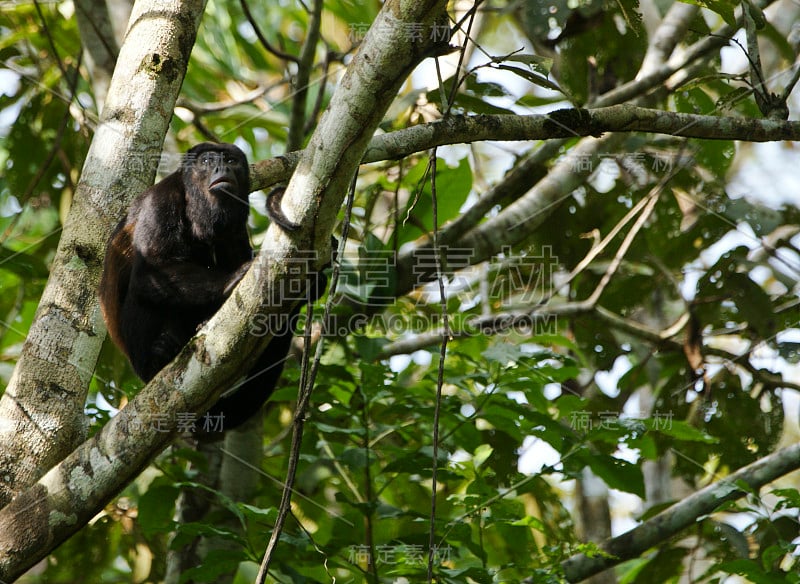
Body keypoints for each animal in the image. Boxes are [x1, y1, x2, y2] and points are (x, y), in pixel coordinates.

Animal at [98, 141, 324, 434]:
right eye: (207, 160)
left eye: (230, 160)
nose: (221, 168)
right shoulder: (160, 201)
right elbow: (150, 272)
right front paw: (234, 277)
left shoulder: (237, 224)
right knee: (142, 295)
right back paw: (161, 355)